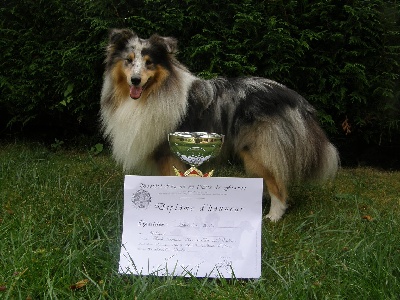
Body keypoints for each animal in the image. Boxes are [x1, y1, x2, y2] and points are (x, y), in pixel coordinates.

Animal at [101, 28, 340, 220]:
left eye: (149, 62)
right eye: (129, 60)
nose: (135, 80)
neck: (154, 93)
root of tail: (293, 97)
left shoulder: (168, 154)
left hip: (259, 149)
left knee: (277, 184)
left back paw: (273, 216)